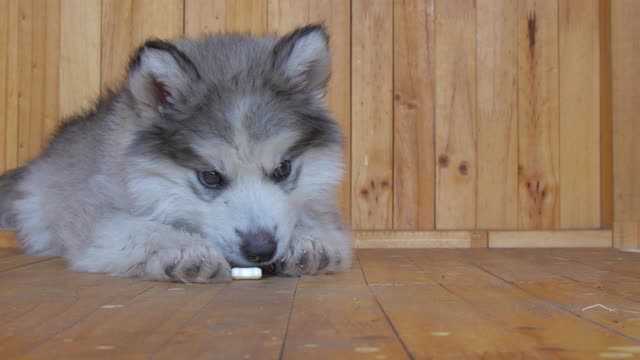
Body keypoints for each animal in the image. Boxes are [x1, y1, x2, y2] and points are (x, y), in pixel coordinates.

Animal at [0, 26, 350, 284]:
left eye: (282, 169)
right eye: (210, 176)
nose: (261, 249)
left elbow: (315, 218)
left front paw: (311, 239)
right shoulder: (95, 216)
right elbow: (140, 227)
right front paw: (185, 249)